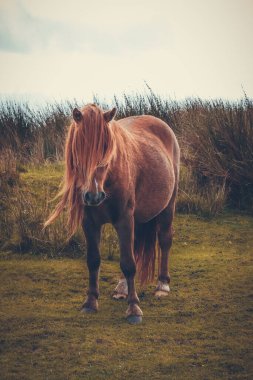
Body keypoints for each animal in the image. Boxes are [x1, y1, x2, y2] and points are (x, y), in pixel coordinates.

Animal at [45, 104, 180, 324]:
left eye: (106, 148)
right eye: (79, 147)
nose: (93, 195)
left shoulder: (124, 219)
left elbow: (129, 263)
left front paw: (134, 309)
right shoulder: (89, 223)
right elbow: (94, 260)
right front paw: (90, 302)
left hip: (168, 206)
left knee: (164, 240)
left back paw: (162, 285)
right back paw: (122, 288)